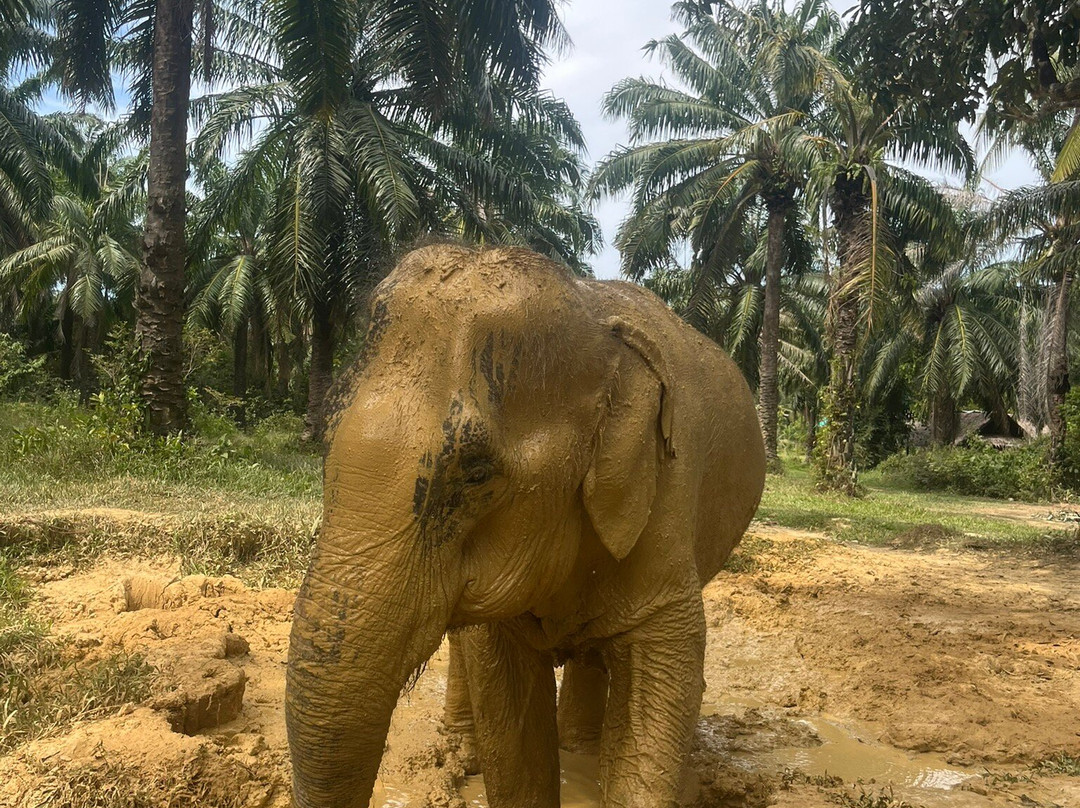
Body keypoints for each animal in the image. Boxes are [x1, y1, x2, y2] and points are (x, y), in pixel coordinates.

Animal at [285, 243, 766, 808]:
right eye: (324, 437)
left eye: (475, 473)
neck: (596, 323)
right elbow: (505, 701)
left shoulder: (667, 495)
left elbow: (664, 674)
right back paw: (467, 752)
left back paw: (581, 748)